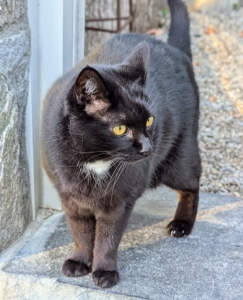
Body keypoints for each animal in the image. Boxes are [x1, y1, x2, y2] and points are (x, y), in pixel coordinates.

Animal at [41, 0, 201, 288]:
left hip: (180, 156)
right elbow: (81, 232)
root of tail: (174, 48)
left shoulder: (119, 200)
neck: (94, 160)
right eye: (120, 128)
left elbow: (107, 237)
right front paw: (80, 262)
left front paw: (104, 271)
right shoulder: (69, 197)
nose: (148, 148)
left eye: (149, 120)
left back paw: (182, 224)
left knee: (191, 184)